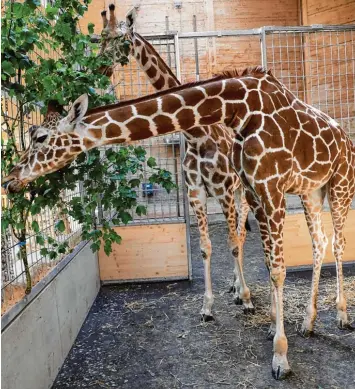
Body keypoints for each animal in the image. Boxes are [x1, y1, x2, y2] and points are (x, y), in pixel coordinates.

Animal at [3, 67, 355, 378]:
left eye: (40, 137)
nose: (10, 180)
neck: (237, 110)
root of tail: (346, 140)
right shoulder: (254, 191)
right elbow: (268, 263)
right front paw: (270, 325)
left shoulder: (271, 189)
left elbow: (278, 268)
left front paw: (280, 357)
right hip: (311, 191)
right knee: (319, 243)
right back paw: (308, 323)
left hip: (340, 186)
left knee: (338, 244)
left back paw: (341, 315)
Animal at [98, 4, 254, 320]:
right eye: (100, 38)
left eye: (119, 39)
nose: (99, 68)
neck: (196, 135)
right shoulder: (196, 193)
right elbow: (206, 247)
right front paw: (207, 306)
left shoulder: (222, 191)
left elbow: (231, 243)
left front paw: (245, 298)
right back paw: (233, 287)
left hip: (241, 190)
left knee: (241, 234)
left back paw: (242, 291)